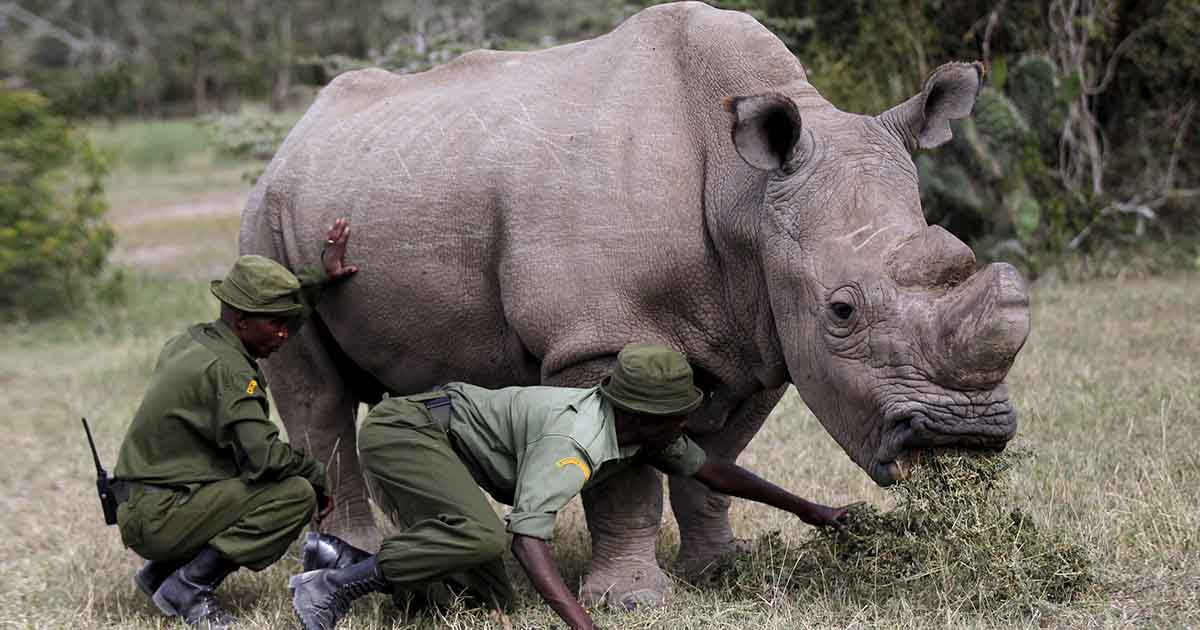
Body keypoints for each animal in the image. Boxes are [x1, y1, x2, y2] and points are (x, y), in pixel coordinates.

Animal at [239, 1, 1030, 608]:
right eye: (842, 311)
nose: (965, 435)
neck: (745, 193)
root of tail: (296, 132)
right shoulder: (597, 338)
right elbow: (624, 482)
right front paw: (633, 601)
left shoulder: (757, 336)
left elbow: (715, 458)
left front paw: (719, 570)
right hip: (268, 218)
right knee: (316, 395)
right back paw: (341, 563)